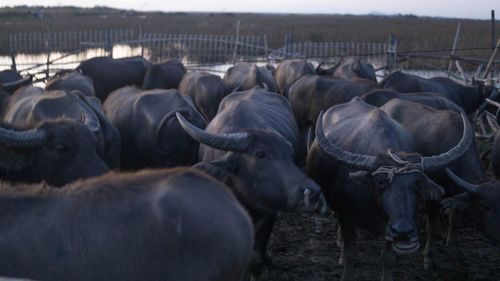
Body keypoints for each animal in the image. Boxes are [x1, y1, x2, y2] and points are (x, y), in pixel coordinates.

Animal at [306, 97, 474, 280]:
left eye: (417, 183)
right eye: (379, 180)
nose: (403, 231)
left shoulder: (391, 224)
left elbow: (388, 258)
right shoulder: (345, 213)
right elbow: (351, 253)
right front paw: (345, 264)